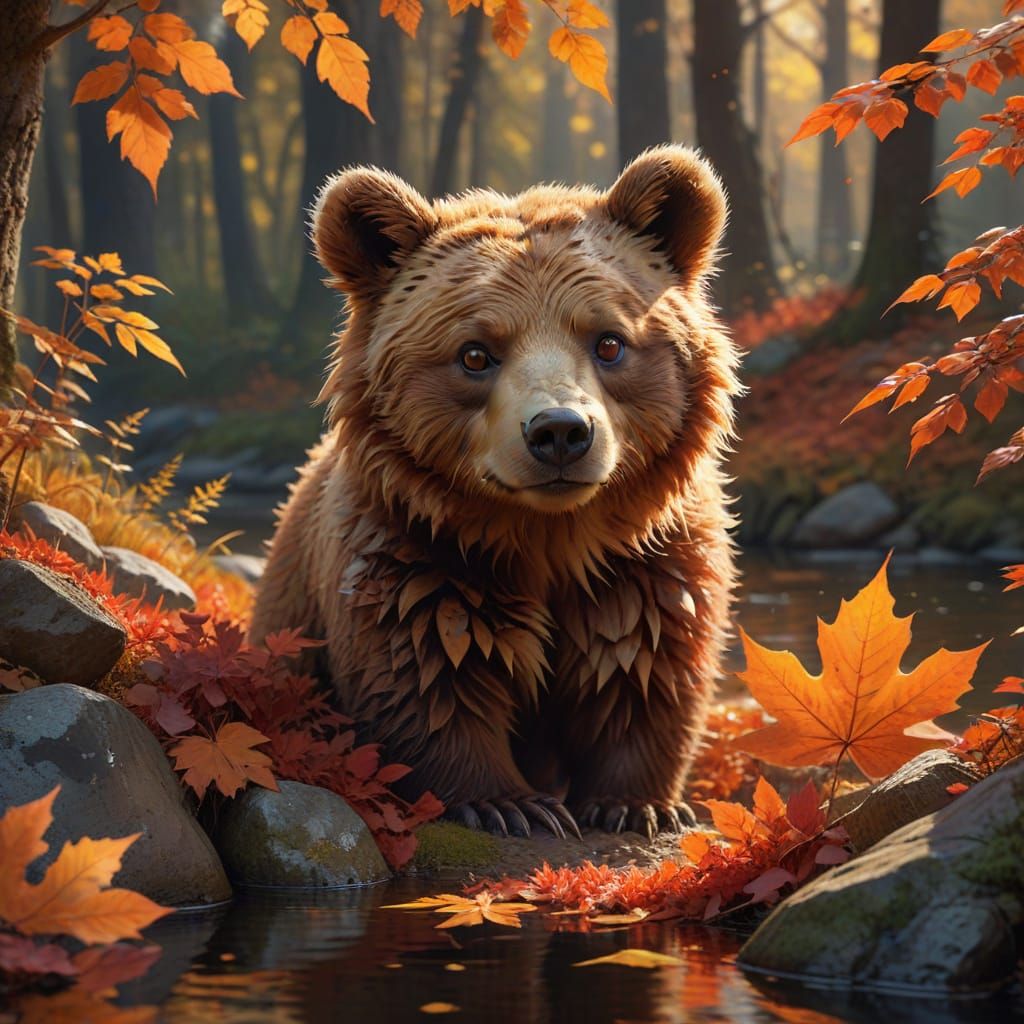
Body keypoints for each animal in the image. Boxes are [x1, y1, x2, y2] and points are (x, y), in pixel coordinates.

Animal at [250, 145, 739, 841]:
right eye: (476, 353)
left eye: (609, 341)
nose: (560, 432)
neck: (547, 536)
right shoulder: (416, 555)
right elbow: (426, 676)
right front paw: (510, 804)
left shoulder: (645, 562)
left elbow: (645, 670)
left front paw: (637, 804)